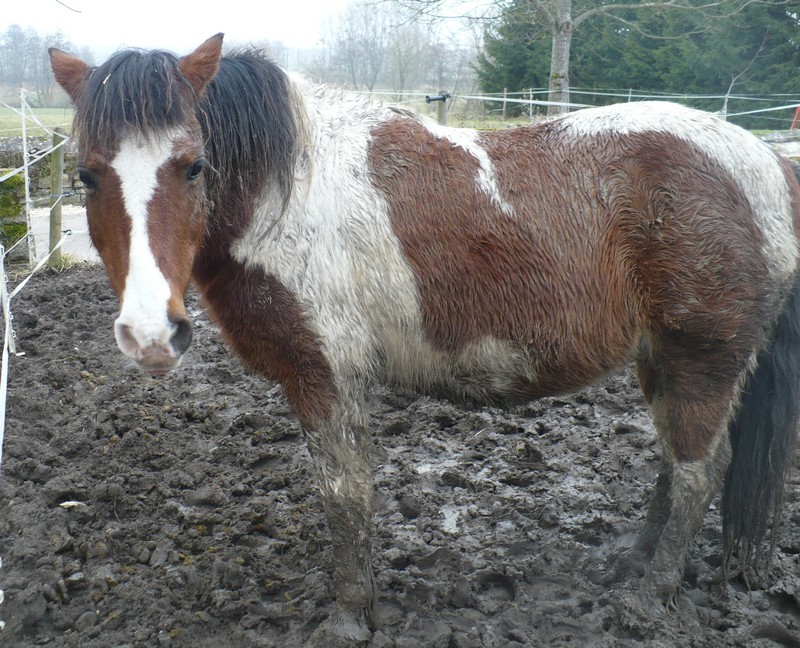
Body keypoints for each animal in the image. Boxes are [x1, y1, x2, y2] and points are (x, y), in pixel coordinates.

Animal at [48, 34, 800, 644]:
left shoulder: (327, 375)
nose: (151, 332)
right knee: (675, 462)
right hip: (661, 361)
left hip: (704, 361)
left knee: (700, 469)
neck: (287, 190)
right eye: (86, 174)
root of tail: (767, 162)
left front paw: (351, 616)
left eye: (193, 166)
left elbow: (346, 493)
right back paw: (632, 562)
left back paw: (649, 598)